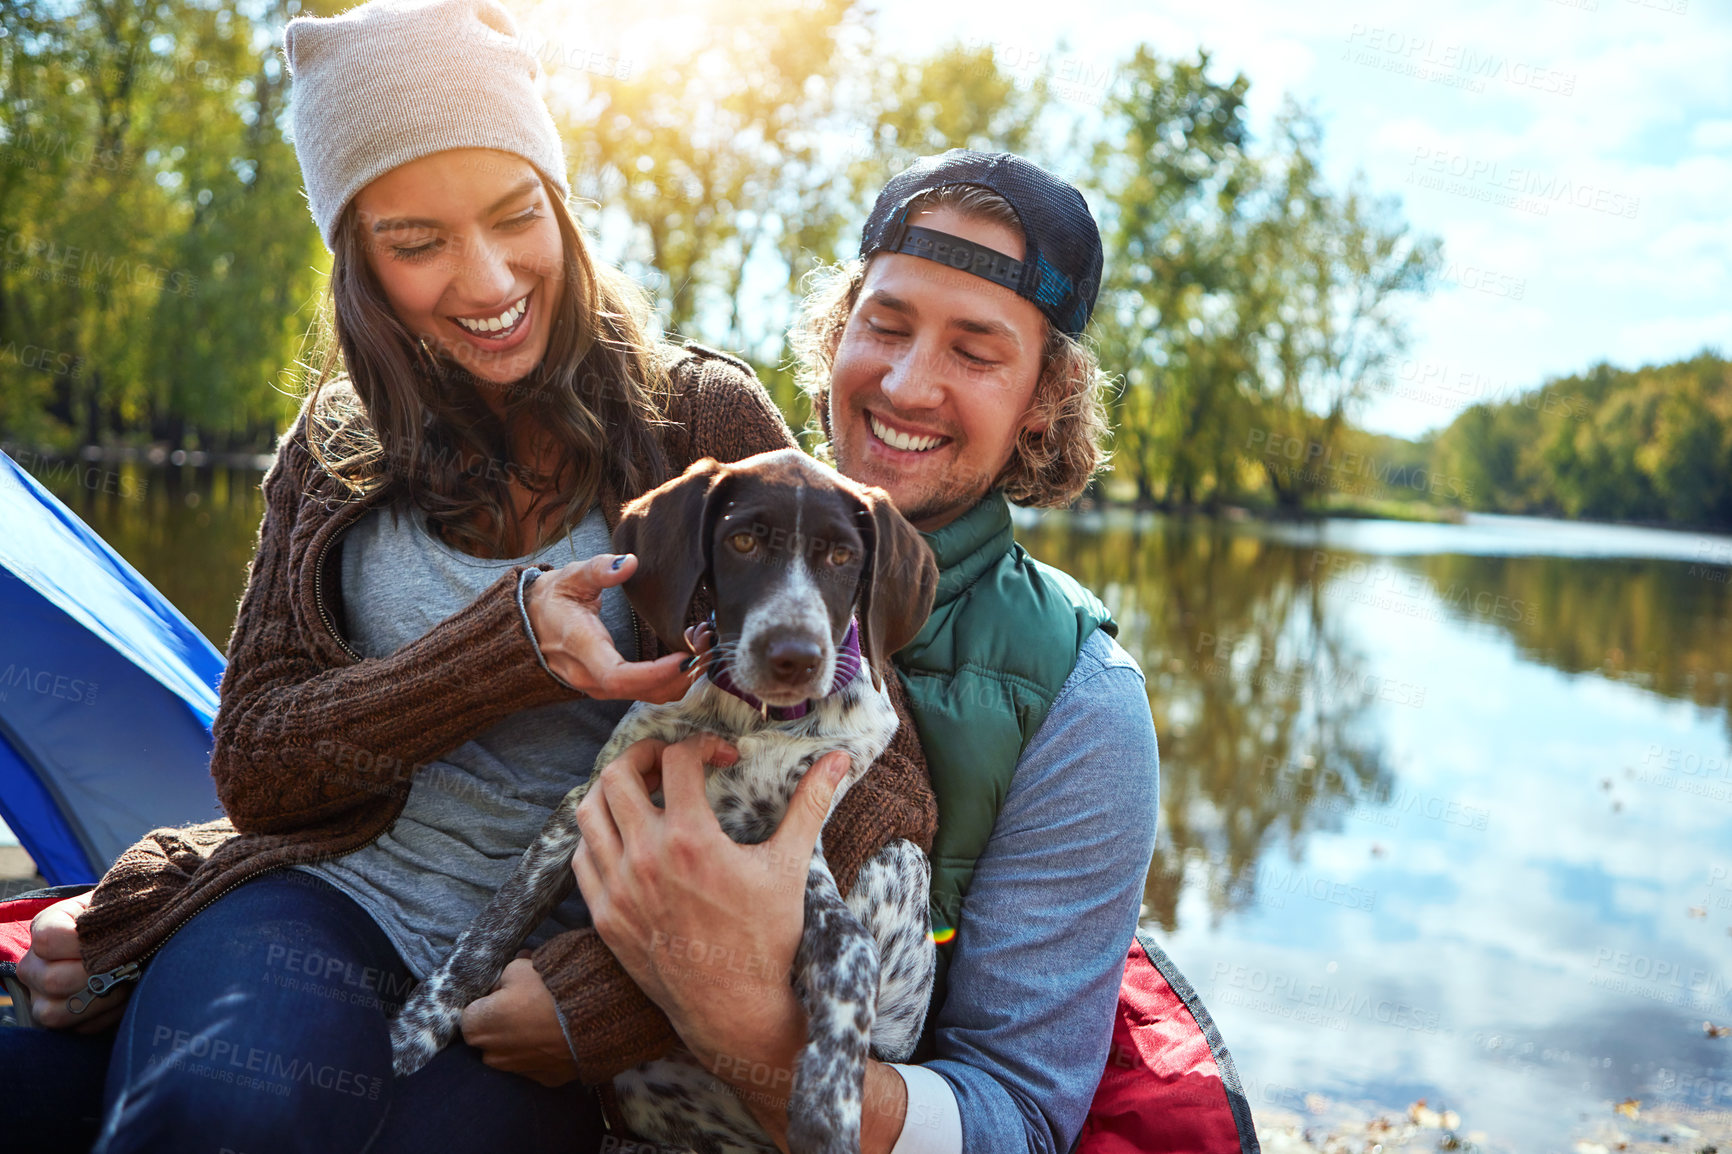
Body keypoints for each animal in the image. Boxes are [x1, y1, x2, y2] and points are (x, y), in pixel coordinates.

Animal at [391, 447, 942, 1150]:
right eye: (742, 542)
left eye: (843, 556)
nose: (793, 656)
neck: (753, 718)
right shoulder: (587, 800)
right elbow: (493, 928)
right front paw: (416, 1030)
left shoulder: (794, 852)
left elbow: (851, 953)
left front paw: (830, 1106)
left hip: (899, 861)